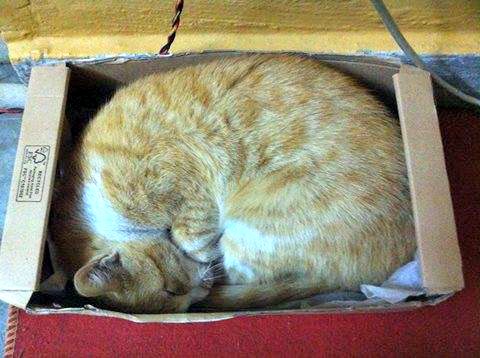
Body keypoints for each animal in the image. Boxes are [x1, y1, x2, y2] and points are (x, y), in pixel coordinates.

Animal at [49, 53, 416, 314]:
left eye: (171, 291)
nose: (197, 298)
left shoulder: (187, 190)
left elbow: (192, 238)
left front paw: (199, 254)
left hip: (247, 236)